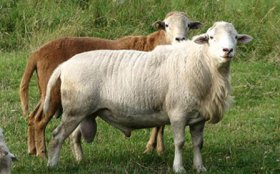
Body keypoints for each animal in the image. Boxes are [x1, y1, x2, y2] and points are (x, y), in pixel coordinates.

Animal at [19, 11, 202, 158]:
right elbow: (159, 125)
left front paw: (157, 149)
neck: (156, 44)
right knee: (39, 121)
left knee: (33, 117)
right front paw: (154, 148)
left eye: (188, 25)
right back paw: (42, 154)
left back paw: (32, 150)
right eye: (167, 25)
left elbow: (160, 124)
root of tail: (37, 53)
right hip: (55, 94)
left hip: (45, 92)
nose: (180, 39)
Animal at [43, 21, 252, 173]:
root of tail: (65, 65)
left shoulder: (199, 117)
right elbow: (179, 143)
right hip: (75, 110)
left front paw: (200, 167)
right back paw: (52, 164)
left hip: (85, 112)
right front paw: (179, 168)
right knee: (57, 135)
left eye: (235, 37)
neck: (203, 65)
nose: (227, 51)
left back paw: (80, 161)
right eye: (210, 37)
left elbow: (198, 144)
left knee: (72, 136)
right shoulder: (178, 113)